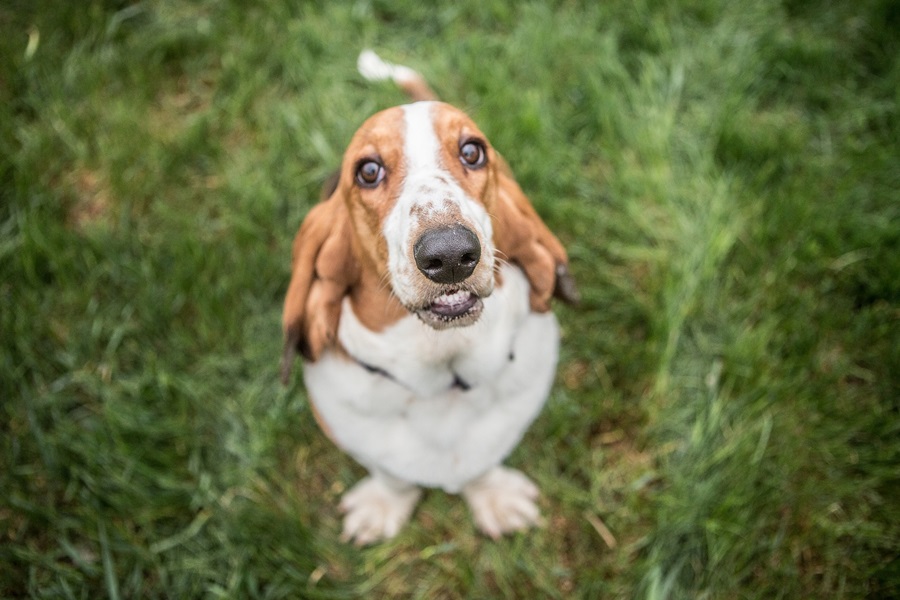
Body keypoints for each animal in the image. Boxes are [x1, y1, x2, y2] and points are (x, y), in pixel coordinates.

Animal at [282, 50, 576, 544]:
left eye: (472, 151)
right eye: (368, 170)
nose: (451, 254)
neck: (444, 373)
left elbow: (483, 465)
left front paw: (495, 499)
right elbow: (391, 475)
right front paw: (384, 507)